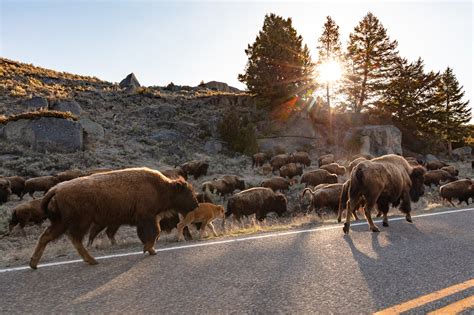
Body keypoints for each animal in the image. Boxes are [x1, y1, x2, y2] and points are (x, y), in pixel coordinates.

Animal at [29, 168, 198, 270]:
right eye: (188, 192)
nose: (196, 205)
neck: (161, 187)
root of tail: (56, 189)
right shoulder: (146, 217)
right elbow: (154, 233)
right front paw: (148, 249)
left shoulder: (148, 219)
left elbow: (152, 234)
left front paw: (151, 250)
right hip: (79, 222)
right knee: (74, 239)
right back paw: (92, 260)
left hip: (61, 223)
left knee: (47, 237)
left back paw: (33, 264)